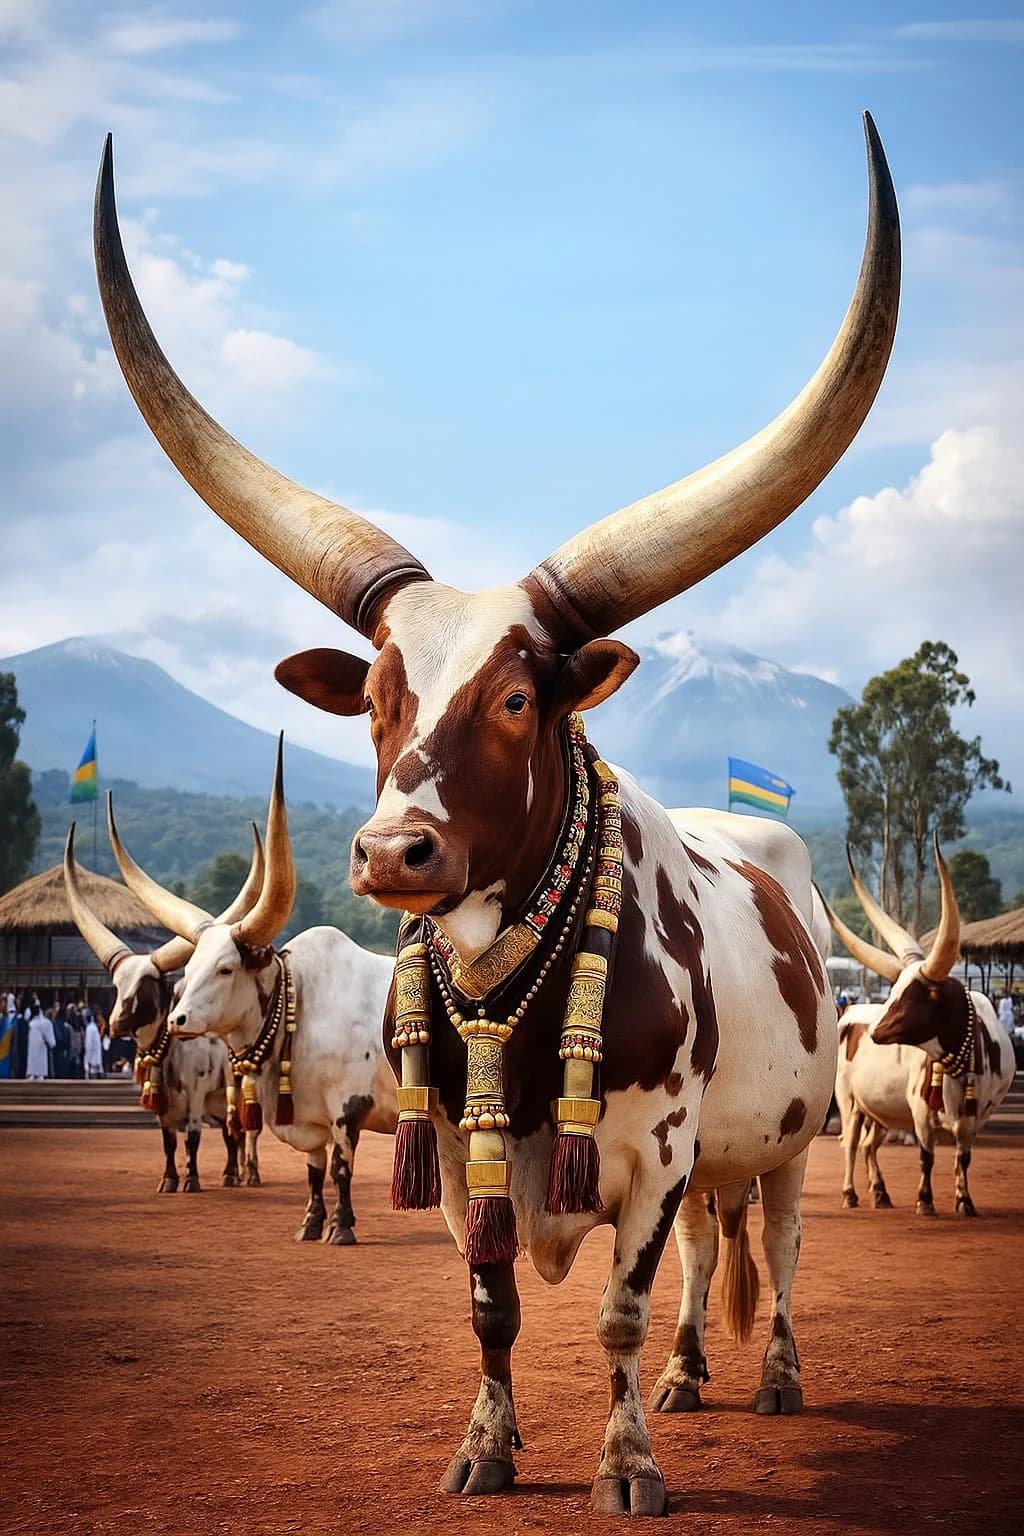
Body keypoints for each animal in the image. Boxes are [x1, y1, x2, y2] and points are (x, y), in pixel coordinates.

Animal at [63, 819, 266, 1192]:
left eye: (145, 988)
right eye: (117, 986)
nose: (115, 1024)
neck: (169, 1050)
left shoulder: (197, 1095)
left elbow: (193, 1139)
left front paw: (192, 1180)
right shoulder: (164, 1107)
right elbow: (169, 1141)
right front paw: (169, 1179)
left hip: (242, 1090)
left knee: (247, 1131)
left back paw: (249, 1173)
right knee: (231, 1133)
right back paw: (233, 1172)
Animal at [106, 744, 399, 1246]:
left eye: (225, 968)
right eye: (188, 971)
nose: (177, 1022)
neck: (301, 1001)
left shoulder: (347, 1109)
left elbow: (341, 1169)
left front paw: (341, 1227)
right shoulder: (309, 1121)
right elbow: (314, 1171)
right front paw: (310, 1223)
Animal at [819, 841, 1015, 1217]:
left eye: (911, 996)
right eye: (892, 990)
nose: (876, 1032)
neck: (962, 1057)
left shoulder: (977, 1114)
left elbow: (963, 1157)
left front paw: (964, 1200)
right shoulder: (921, 1110)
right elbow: (927, 1156)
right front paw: (925, 1200)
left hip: (879, 1108)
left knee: (869, 1145)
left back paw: (880, 1193)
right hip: (848, 1099)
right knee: (850, 1143)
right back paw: (850, 1193)